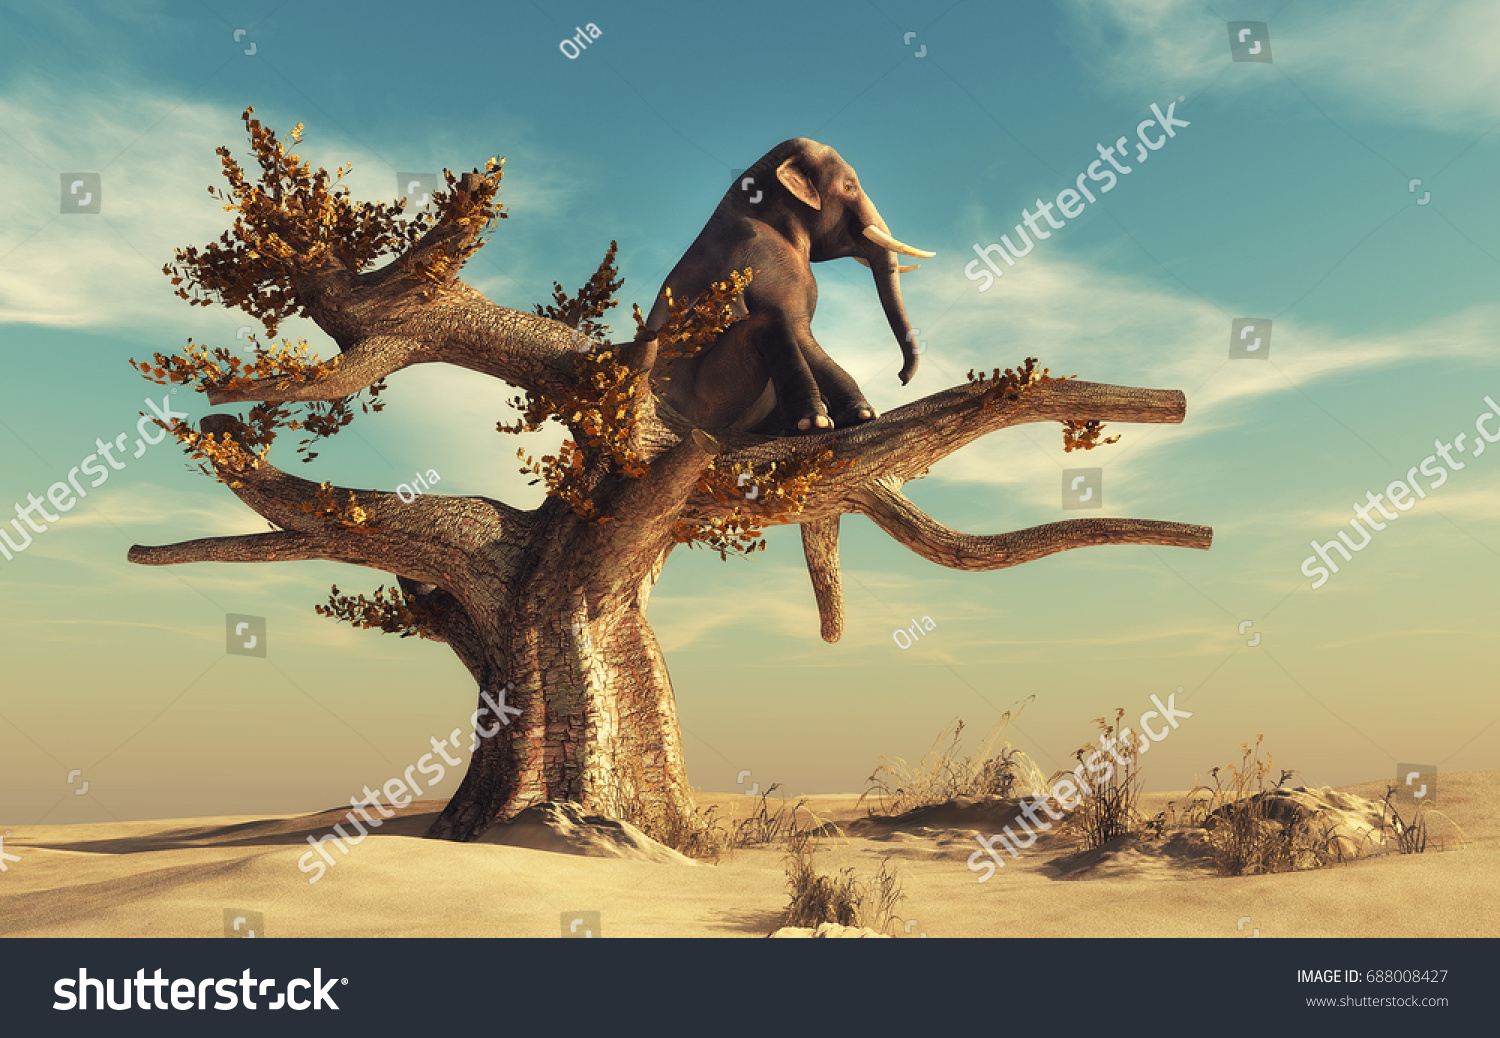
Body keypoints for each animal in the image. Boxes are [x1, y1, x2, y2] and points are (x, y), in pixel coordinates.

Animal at [644, 138, 934, 436]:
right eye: (848, 187)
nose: (901, 378)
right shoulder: (771, 263)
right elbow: (799, 329)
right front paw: (859, 416)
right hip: (707, 398)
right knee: (771, 320)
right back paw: (809, 422)